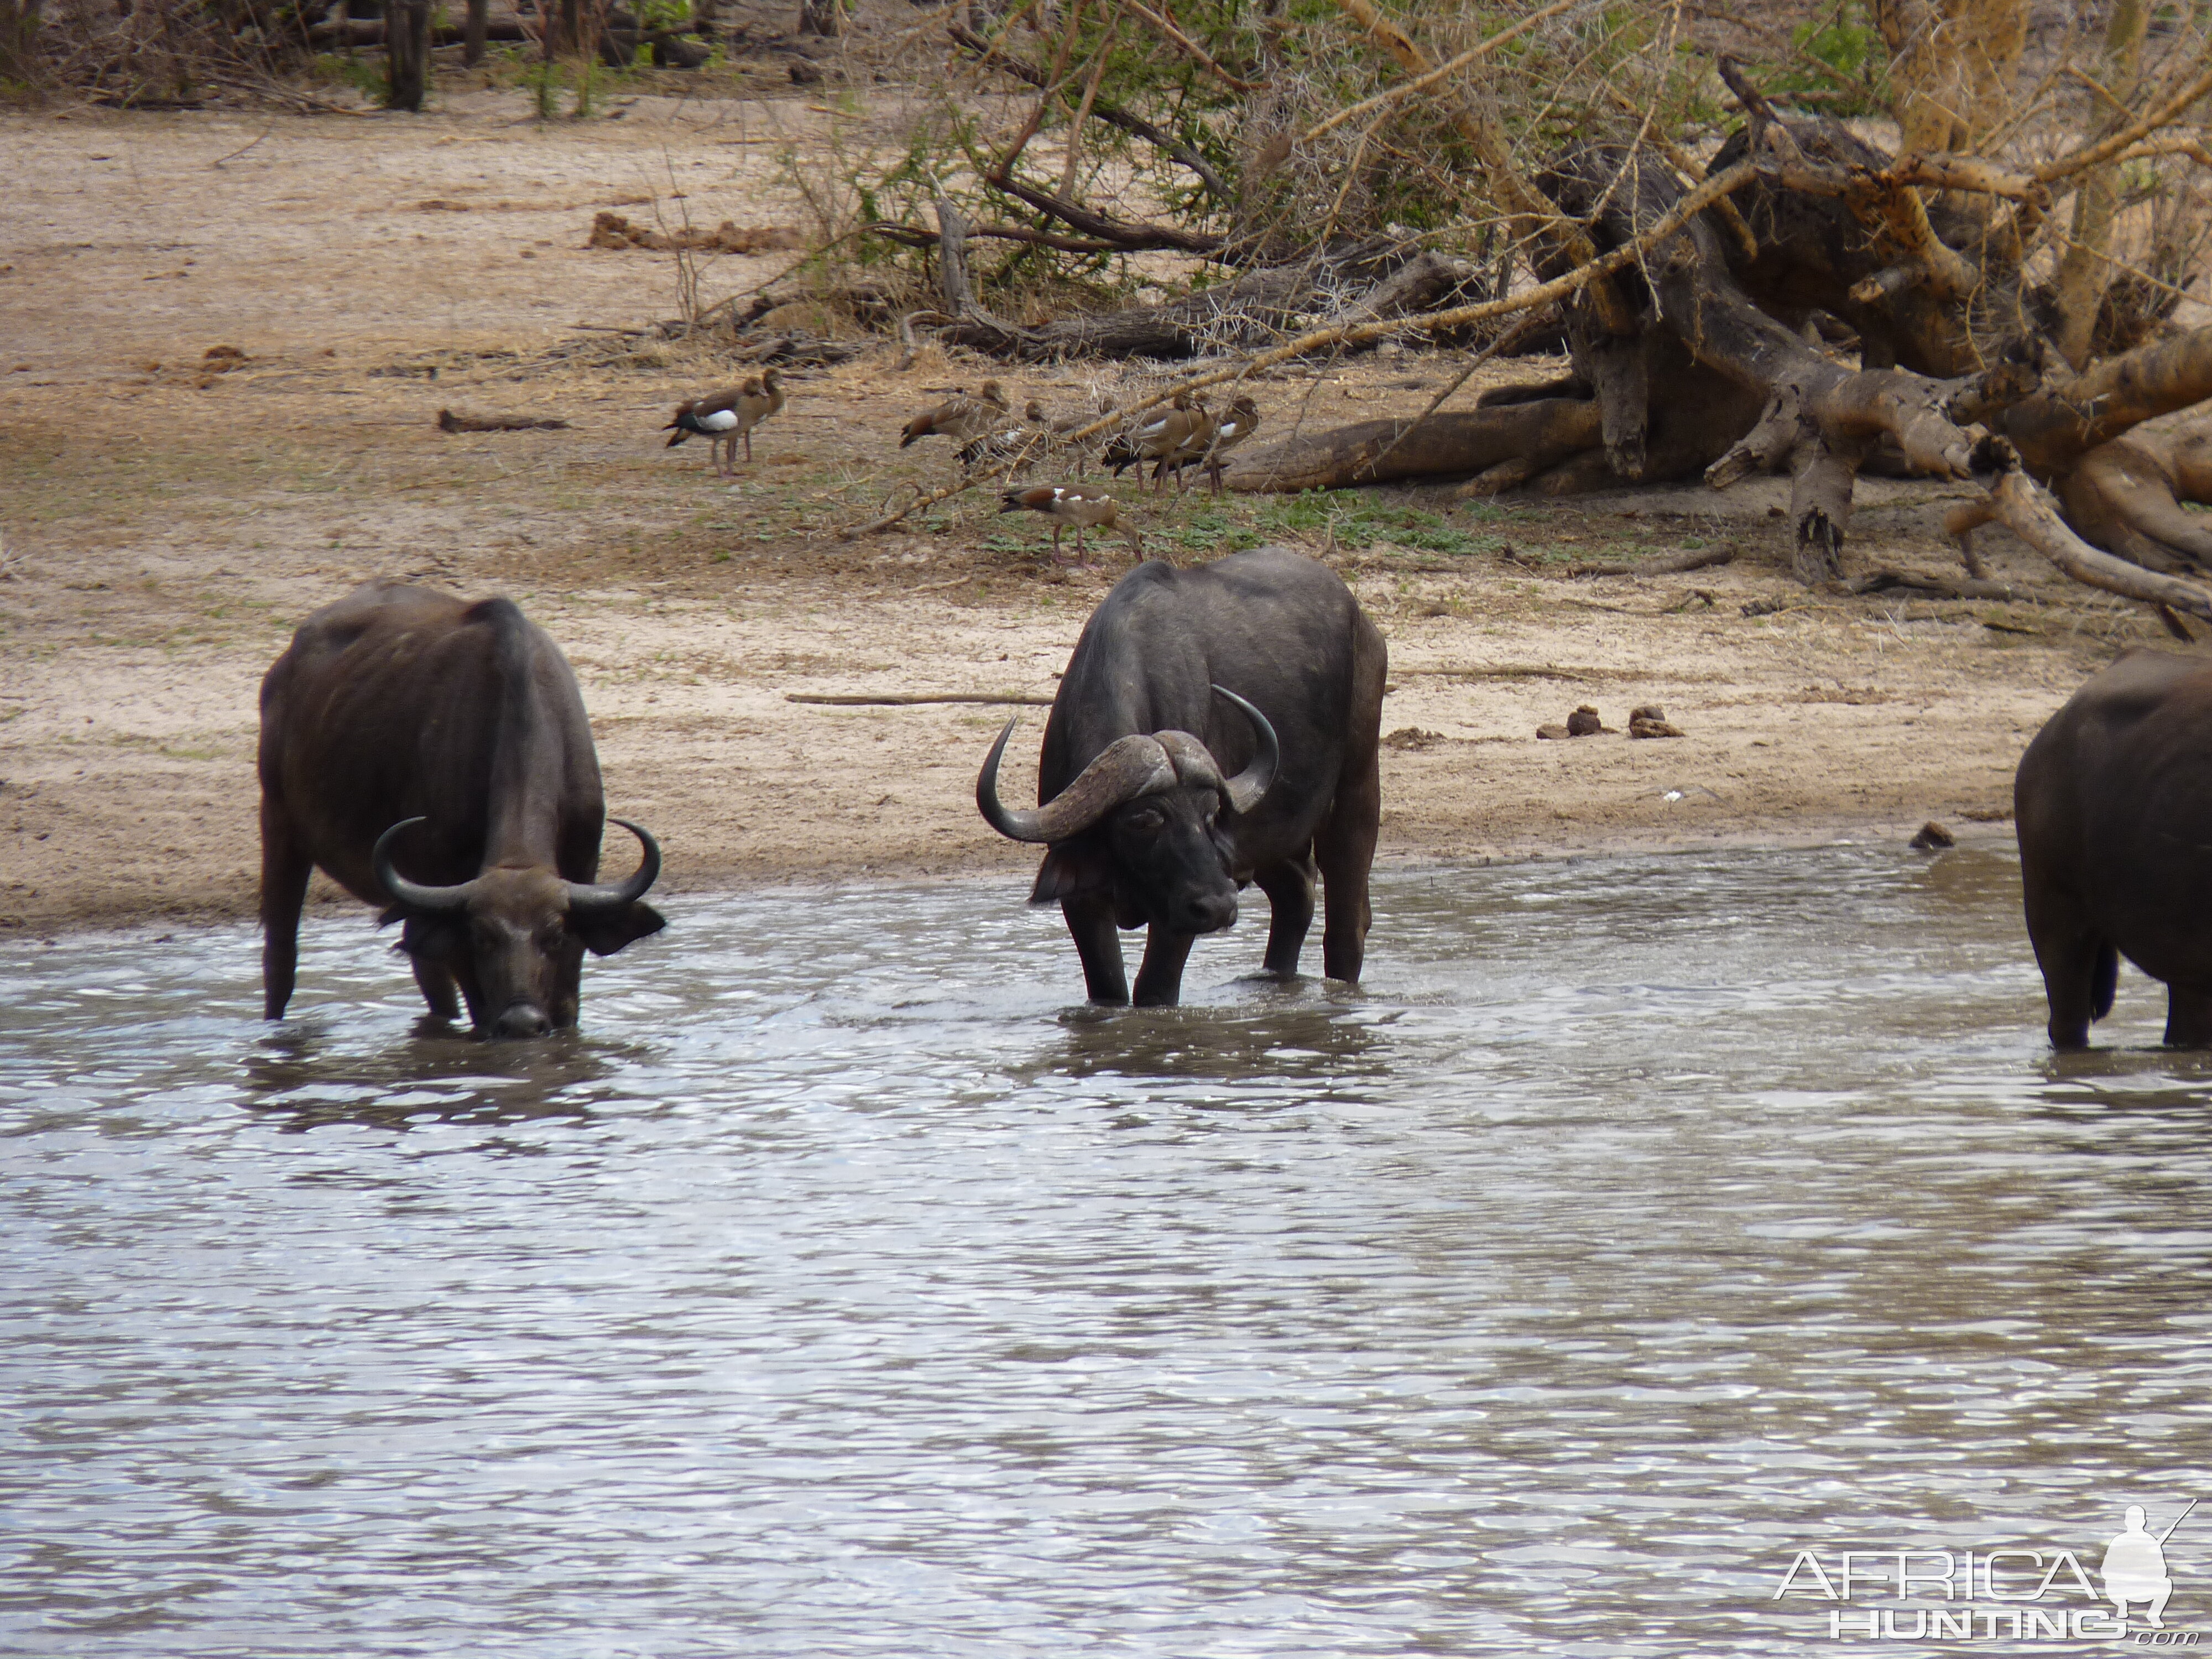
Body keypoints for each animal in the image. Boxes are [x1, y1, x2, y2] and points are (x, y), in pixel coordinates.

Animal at [260, 580, 664, 1035]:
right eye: (483, 937)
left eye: (553, 937)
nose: (521, 1022)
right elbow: (479, 1007)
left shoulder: (582, 879)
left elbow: (565, 1007)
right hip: (278, 821)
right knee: (281, 955)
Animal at [982, 553, 1380, 1009]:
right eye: (1144, 820)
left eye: (1210, 817)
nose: (1221, 906)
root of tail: (1362, 620)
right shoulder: (1082, 900)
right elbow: (1108, 989)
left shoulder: (1182, 911)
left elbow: (1154, 988)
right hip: (1277, 835)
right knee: (1296, 897)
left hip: (1357, 788)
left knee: (1347, 923)